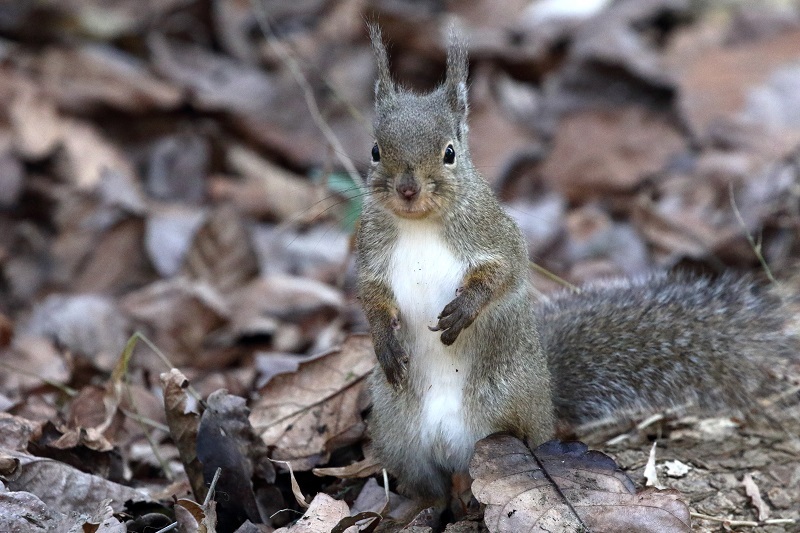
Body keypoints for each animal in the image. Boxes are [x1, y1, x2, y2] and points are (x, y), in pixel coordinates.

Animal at [356, 23, 800, 498]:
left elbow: (504, 275)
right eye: (375, 150)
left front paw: (464, 309)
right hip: (399, 436)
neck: (419, 225)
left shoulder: (495, 236)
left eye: (450, 152)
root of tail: (547, 404)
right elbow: (370, 295)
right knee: (428, 488)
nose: (407, 190)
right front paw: (384, 340)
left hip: (507, 410)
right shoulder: (370, 253)